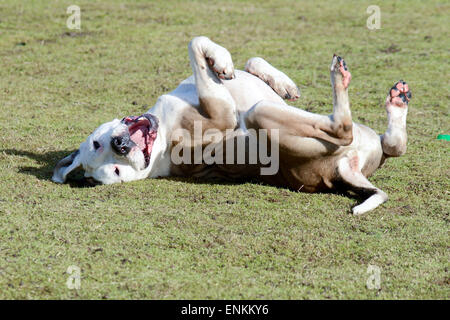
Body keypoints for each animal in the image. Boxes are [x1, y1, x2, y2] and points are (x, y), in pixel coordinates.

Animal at [52, 36, 412, 214]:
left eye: (97, 145)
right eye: (115, 171)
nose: (121, 145)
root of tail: (341, 171)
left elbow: (247, 60)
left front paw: (278, 80)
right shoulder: (223, 114)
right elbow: (196, 44)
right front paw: (220, 61)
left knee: (394, 145)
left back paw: (397, 102)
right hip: (263, 114)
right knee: (342, 128)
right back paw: (339, 75)